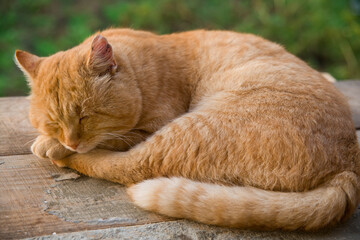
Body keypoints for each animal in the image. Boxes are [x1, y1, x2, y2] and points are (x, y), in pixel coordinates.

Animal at [14, 28, 360, 231]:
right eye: (53, 122)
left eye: (86, 117)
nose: (71, 141)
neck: (140, 69)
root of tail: (347, 167)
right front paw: (50, 140)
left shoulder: (149, 127)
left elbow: (111, 142)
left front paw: (50, 145)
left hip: (189, 131)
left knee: (128, 167)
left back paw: (64, 156)